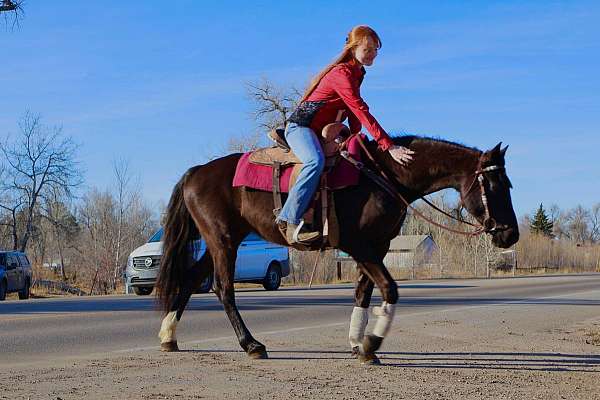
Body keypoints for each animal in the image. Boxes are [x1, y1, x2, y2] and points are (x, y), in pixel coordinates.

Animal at [157, 134, 516, 362]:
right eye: (495, 185)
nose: (510, 234)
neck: (384, 176)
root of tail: (196, 172)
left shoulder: (377, 246)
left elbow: (364, 292)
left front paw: (357, 342)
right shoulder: (357, 244)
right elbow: (389, 288)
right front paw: (371, 344)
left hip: (220, 241)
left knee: (190, 280)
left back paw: (169, 337)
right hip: (223, 240)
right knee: (223, 289)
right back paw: (251, 344)